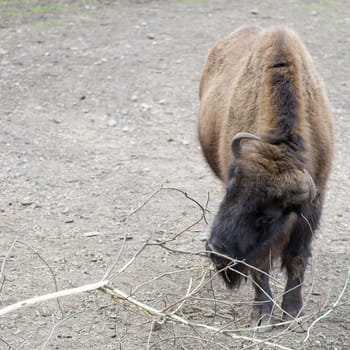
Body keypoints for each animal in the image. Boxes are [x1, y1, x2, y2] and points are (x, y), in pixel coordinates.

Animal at [197, 26, 334, 328]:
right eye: (229, 193)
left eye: (267, 217)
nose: (217, 251)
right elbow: (260, 264)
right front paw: (262, 315)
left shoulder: (311, 208)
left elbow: (296, 258)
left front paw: (293, 312)